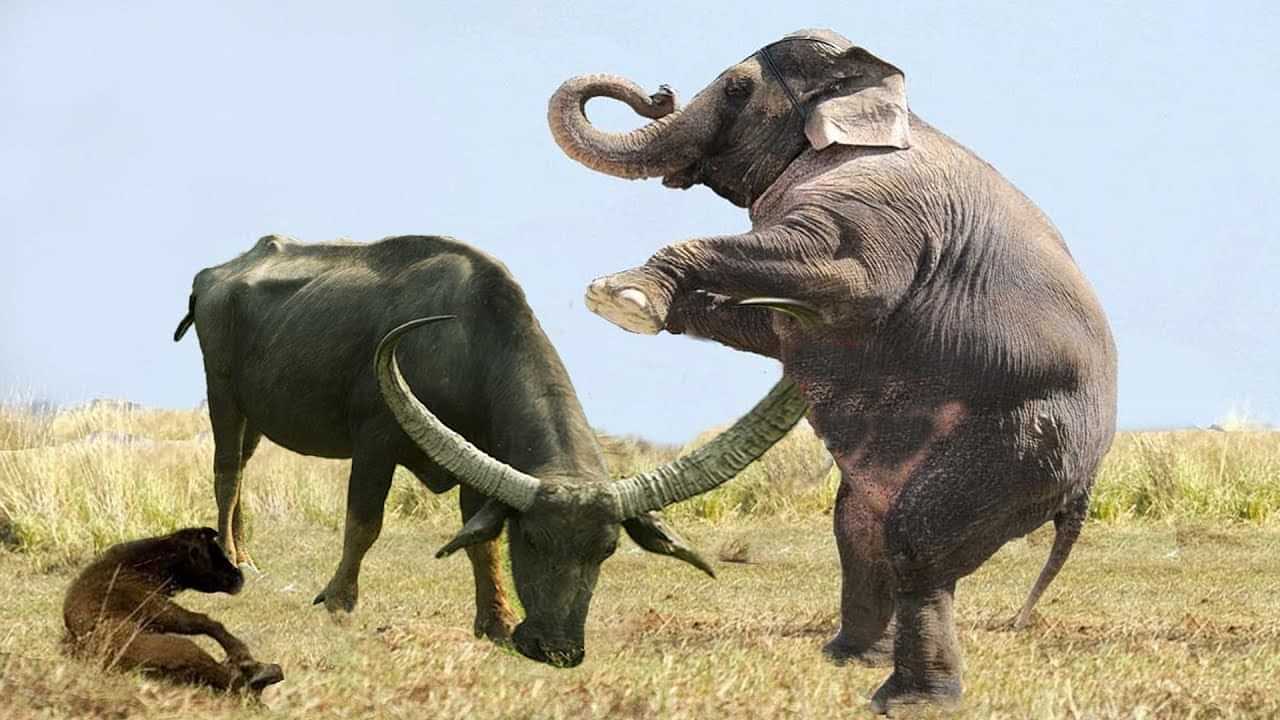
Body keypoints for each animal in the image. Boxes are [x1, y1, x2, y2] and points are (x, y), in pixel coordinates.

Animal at [548, 29, 1117, 712]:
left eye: (736, 88)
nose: (657, 92)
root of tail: (1084, 489)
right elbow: (773, 328)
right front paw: (658, 304)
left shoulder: (880, 207)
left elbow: (846, 277)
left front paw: (623, 298)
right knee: (860, 531)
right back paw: (848, 659)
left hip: (1027, 444)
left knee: (918, 544)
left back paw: (908, 701)